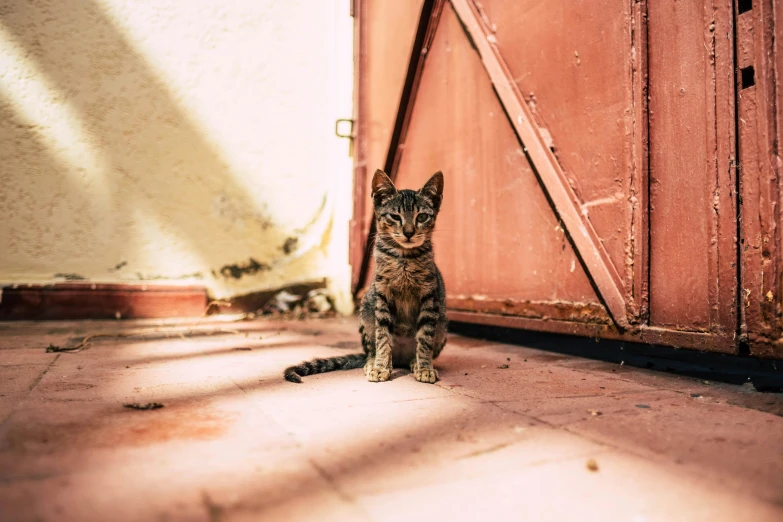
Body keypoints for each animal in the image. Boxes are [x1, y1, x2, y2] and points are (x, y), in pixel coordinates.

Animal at [286, 170, 448, 382]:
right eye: (395, 216)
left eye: (421, 217)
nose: (409, 232)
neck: (404, 258)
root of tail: (401, 358)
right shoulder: (382, 296)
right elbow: (383, 337)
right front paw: (380, 367)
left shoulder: (429, 297)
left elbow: (425, 338)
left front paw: (425, 368)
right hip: (366, 310)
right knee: (372, 349)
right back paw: (373, 362)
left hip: (442, 325)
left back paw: (413, 362)